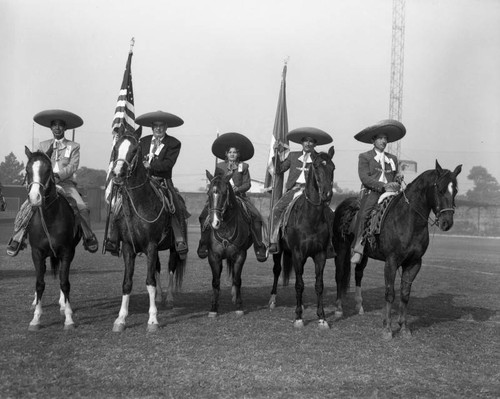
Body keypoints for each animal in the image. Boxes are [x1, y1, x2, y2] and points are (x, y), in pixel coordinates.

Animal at [22, 147, 81, 332]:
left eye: (48, 170)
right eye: (27, 170)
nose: (35, 198)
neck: (50, 217)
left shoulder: (67, 252)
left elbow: (64, 282)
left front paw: (68, 318)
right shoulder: (36, 253)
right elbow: (39, 283)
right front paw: (35, 319)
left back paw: (63, 304)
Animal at [108, 133, 187, 332]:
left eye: (135, 150)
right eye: (116, 148)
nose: (117, 174)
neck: (139, 204)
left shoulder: (151, 246)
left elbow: (150, 282)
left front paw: (152, 320)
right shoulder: (128, 248)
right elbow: (127, 282)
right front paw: (120, 319)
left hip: (173, 249)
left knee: (171, 269)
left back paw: (168, 298)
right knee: (158, 268)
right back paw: (159, 297)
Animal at [204, 170, 254, 318]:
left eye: (224, 193)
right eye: (208, 193)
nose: (214, 222)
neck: (225, 228)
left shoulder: (240, 255)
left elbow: (237, 280)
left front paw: (239, 306)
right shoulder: (214, 256)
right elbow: (215, 282)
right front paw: (213, 308)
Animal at [268, 148, 334, 330]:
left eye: (332, 167)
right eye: (317, 167)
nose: (327, 194)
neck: (310, 218)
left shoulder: (320, 255)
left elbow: (319, 285)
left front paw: (322, 318)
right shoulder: (298, 254)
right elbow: (299, 285)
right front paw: (298, 317)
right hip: (279, 251)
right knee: (277, 270)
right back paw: (272, 299)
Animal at [334, 161, 462, 340]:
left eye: (455, 190)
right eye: (441, 189)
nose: (447, 222)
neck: (407, 219)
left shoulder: (414, 263)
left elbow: (405, 294)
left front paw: (404, 327)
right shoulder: (391, 262)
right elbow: (390, 293)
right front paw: (387, 329)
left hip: (363, 255)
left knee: (358, 273)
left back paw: (359, 306)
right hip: (340, 250)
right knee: (339, 276)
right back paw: (339, 309)